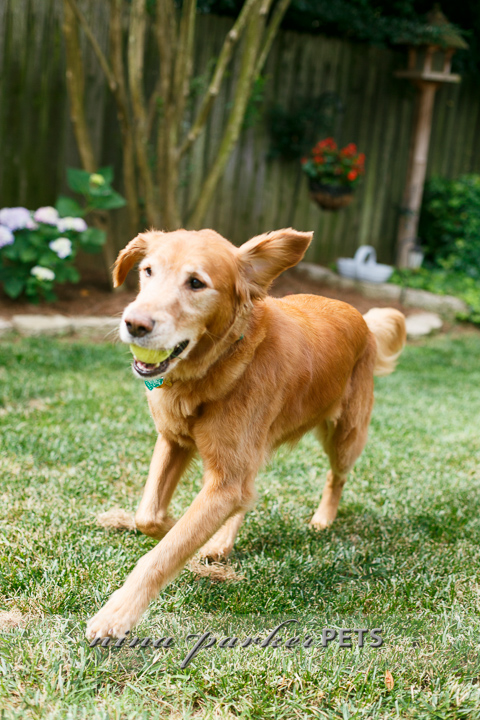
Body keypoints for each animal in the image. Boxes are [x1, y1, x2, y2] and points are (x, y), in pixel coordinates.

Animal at [86, 228, 404, 640]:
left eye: (196, 283)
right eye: (147, 271)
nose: (134, 324)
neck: (217, 367)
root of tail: (362, 317)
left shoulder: (226, 480)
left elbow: (166, 550)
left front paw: (116, 614)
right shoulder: (175, 441)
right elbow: (150, 518)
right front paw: (187, 532)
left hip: (345, 436)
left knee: (336, 477)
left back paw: (323, 518)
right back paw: (221, 540)